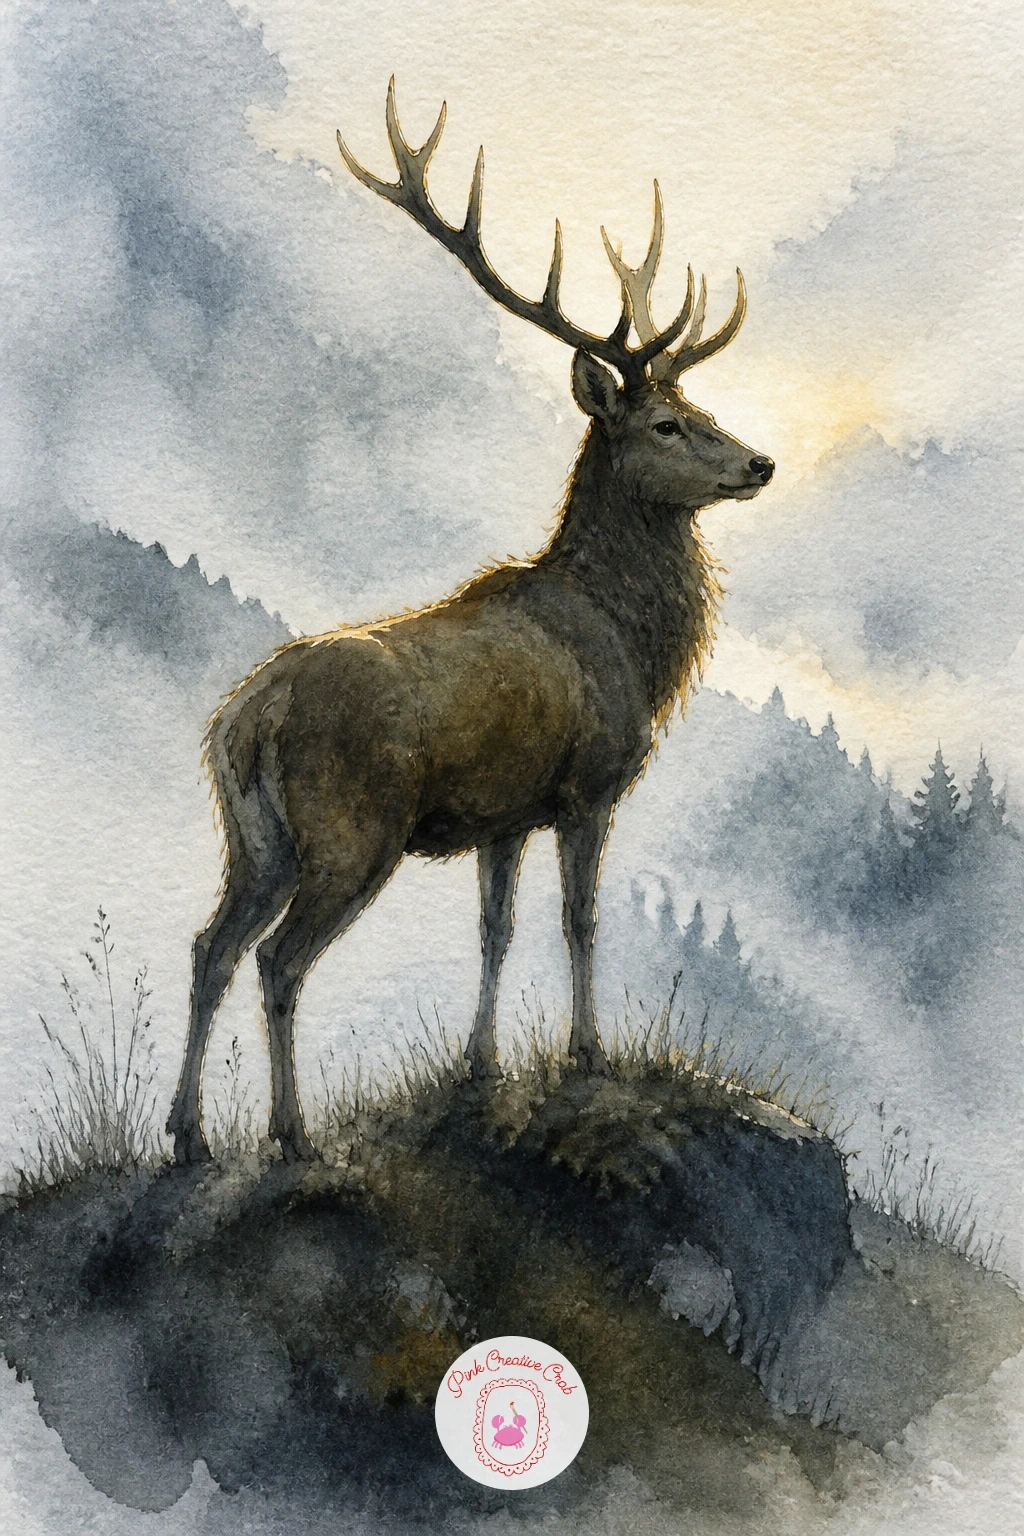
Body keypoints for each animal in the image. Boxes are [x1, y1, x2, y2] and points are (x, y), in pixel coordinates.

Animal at [166, 81, 774, 1165]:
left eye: (702, 407)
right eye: (667, 425)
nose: (760, 463)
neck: (631, 645)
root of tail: (247, 716)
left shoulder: (504, 814)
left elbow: (495, 930)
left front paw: (480, 1063)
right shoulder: (587, 785)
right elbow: (580, 921)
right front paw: (585, 1052)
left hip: (251, 837)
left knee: (209, 948)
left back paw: (188, 1136)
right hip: (350, 829)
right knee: (279, 961)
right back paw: (291, 1134)